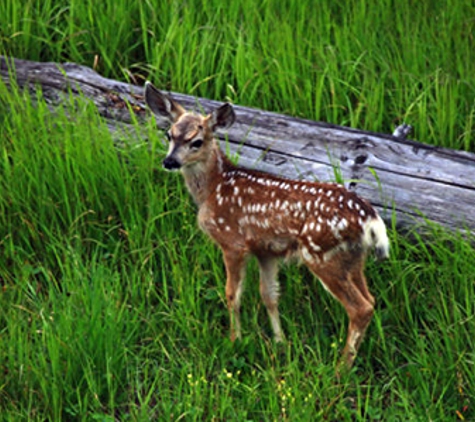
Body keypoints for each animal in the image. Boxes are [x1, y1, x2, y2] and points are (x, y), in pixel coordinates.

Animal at [146, 81, 390, 368]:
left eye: (196, 141)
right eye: (169, 135)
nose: (169, 161)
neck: (214, 188)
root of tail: (370, 218)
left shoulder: (233, 242)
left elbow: (232, 294)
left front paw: (235, 340)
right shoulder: (266, 251)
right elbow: (270, 296)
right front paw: (280, 343)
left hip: (322, 254)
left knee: (360, 308)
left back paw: (341, 368)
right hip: (353, 258)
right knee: (371, 299)